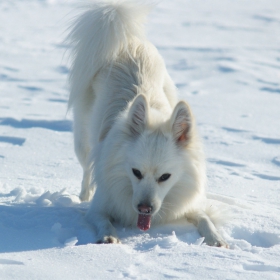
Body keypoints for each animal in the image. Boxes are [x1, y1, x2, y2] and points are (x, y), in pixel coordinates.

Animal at [66, 0, 229, 246]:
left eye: (165, 177)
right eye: (136, 172)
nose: (144, 208)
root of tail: (128, 41)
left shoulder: (188, 203)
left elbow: (204, 218)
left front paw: (216, 239)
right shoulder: (100, 207)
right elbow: (103, 220)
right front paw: (109, 237)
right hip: (83, 139)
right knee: (87, 169)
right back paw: (84, 194)